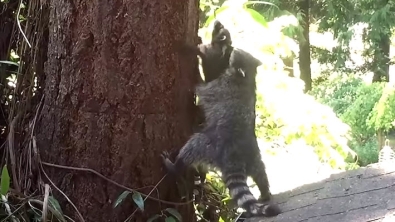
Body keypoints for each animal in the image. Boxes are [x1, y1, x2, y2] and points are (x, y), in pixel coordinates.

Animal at [163, 48, 282, 217]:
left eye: (237, 54)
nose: (233, 48)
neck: (248, 75)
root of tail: (235, 157)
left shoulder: (220, 87)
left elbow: (203, 88)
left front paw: (200, 70)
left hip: (210, 145)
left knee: (193, 146)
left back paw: (174, 167)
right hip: (254, 156)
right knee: (261, 173)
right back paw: (265, 192)